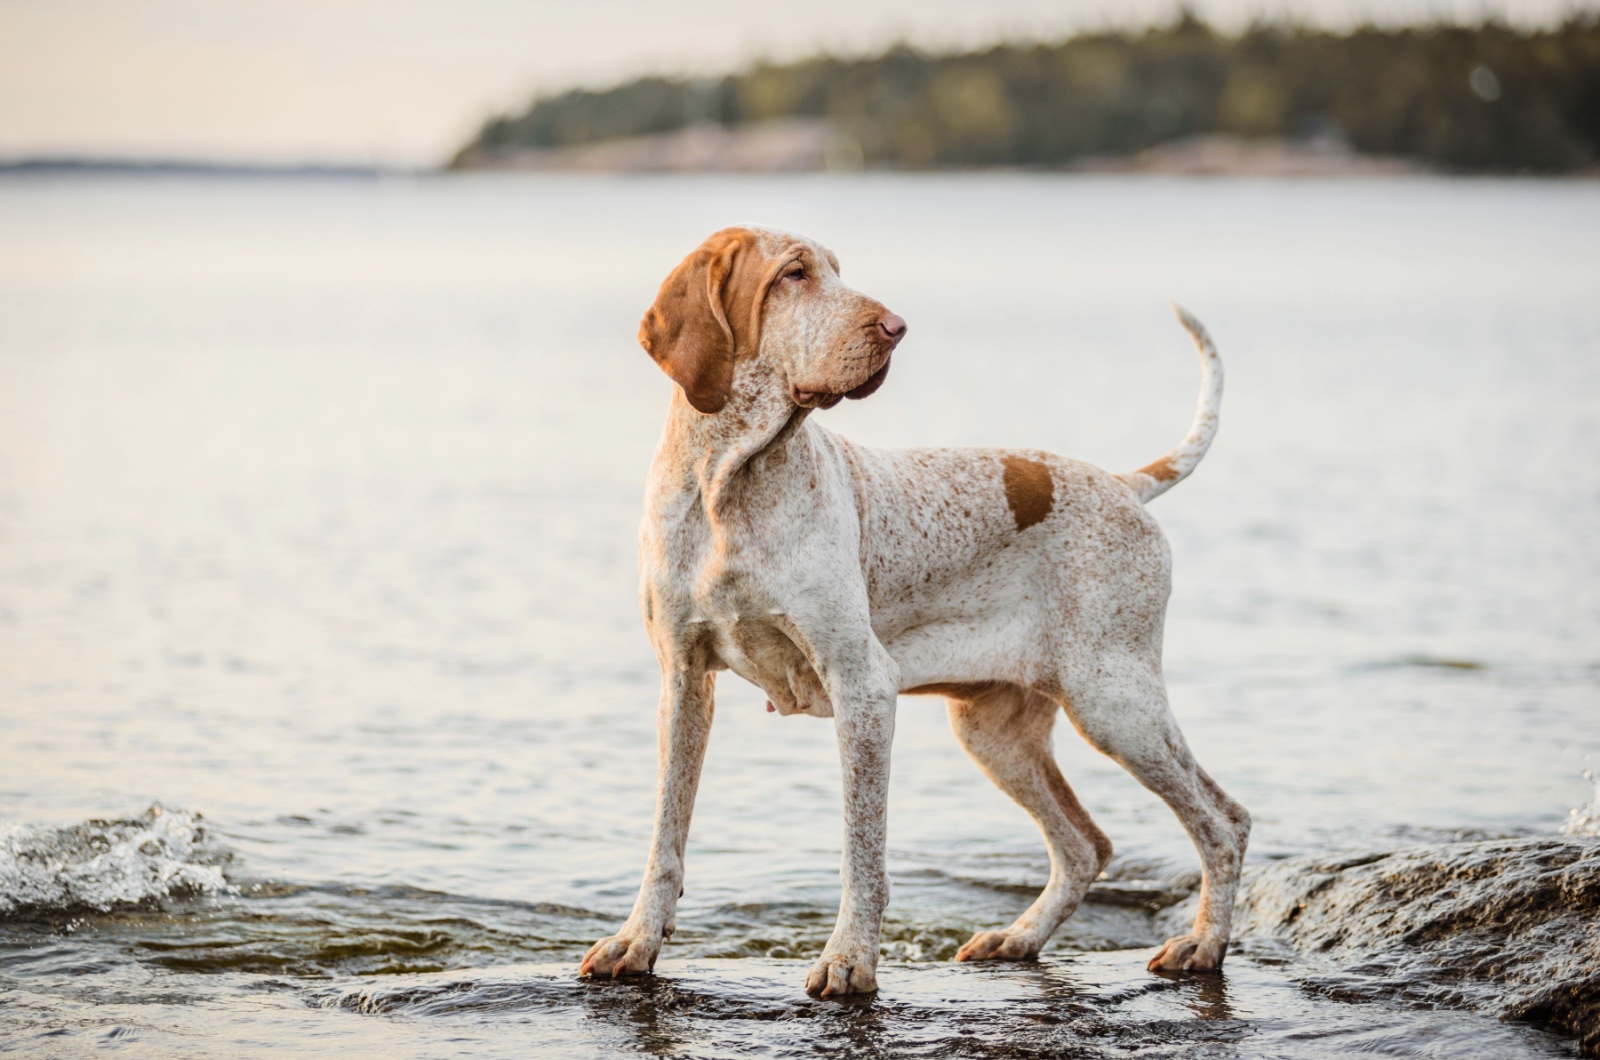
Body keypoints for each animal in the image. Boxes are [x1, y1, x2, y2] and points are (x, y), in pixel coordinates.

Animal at [582, 228, 1254, 999]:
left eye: (836, 270)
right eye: (793, 274)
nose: (896, 328)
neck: (730, 484)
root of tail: (1124, 484)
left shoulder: (862, 687)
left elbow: (861, 851)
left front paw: (849, 959)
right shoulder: (685, 684)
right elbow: (666, 837)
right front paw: (636, 941)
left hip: (1114, 702)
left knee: (1223, 822)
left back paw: (1203, 945)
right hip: (996, 732)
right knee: (1086, 844)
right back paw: (1019, 938)